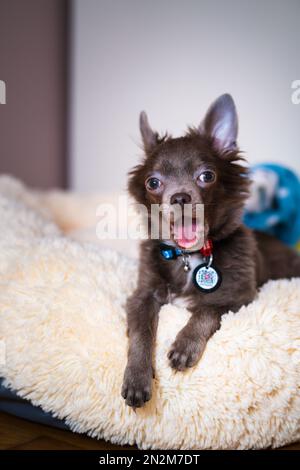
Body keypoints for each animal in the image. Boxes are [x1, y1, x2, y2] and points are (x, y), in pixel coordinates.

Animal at [121, 92, 300, 408]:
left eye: (207, 176)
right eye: (153, 182)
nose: (180, 197)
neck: (188, 258)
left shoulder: (241, 298)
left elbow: (207, 309)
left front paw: (185, 344)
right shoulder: (141, 296)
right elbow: (141, 331)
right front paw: (137, 377)